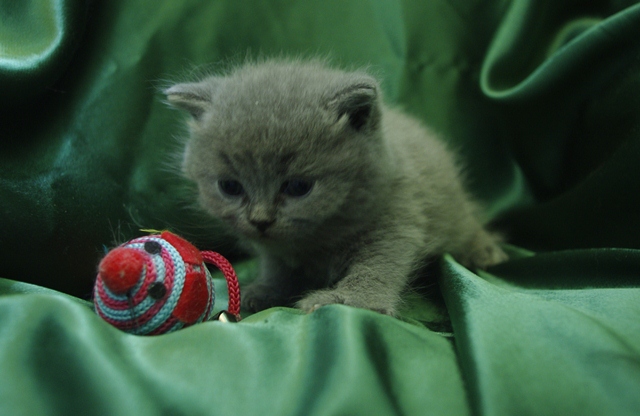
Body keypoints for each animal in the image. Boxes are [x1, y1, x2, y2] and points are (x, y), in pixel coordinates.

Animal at [165, 59, 507, 316]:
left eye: (298, 187)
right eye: (230, 187)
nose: (260, 220)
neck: (319, 240)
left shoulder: (398, 220)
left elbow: (378, 264)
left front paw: (349, 300)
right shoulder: (276, 249)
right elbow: (278, 266)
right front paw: (269, 289)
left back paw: (485, 251)